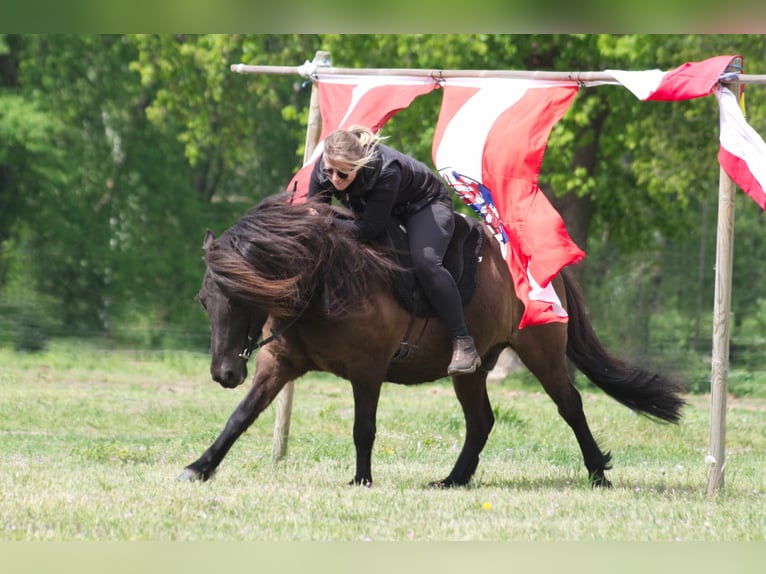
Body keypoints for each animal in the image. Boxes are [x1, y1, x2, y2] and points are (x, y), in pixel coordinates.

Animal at [182, 195, 688, 490]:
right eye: (205, 300)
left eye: (241, 297)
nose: (224, 372)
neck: (328, 280)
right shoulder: (279, 366)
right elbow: (240, 417)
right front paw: (200, 466)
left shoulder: (367, 371)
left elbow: (363, 428)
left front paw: (362, 480)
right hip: (473, 368)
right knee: (481, 421)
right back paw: (453, 479)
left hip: (541, 353)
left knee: (571, 406)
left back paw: (598, 473)